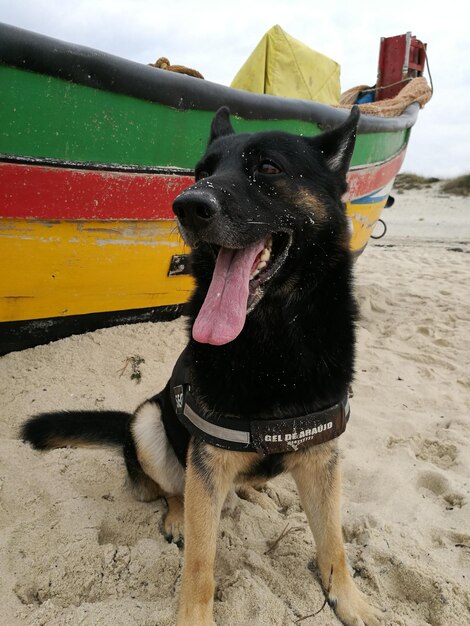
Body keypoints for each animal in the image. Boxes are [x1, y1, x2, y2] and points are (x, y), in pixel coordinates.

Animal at [23, 107, 382, 624]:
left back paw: (256, 491)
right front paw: (193, 615)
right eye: (201, 173)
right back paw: (177, 514)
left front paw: (351, 601)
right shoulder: (206, 464)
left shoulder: (321, 459)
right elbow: (200, 559)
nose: (187, 206)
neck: (273, 342)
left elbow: (334, 542)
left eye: (267, 168)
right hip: (150, 421)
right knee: (172, 490)